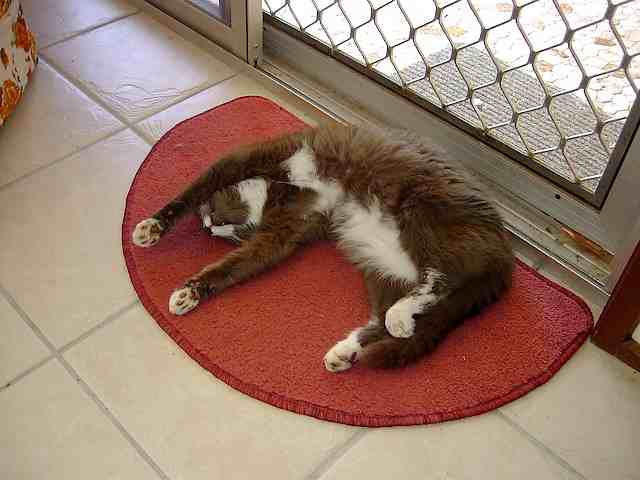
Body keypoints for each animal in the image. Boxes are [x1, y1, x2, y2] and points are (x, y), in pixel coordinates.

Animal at [131, 124, 516, 372]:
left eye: (214, 216)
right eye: (215, 230)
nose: (209, 227)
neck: (280, 190)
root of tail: (504, 257)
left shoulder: (254, 157)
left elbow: (193, 189)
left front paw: (151, 228)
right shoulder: (284, 232)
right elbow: (236, 265)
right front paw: (191, 293)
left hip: (423, 210)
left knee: (440, 279)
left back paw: (396, 319)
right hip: (381, 265)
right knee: (394, 312)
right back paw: (348, 352)